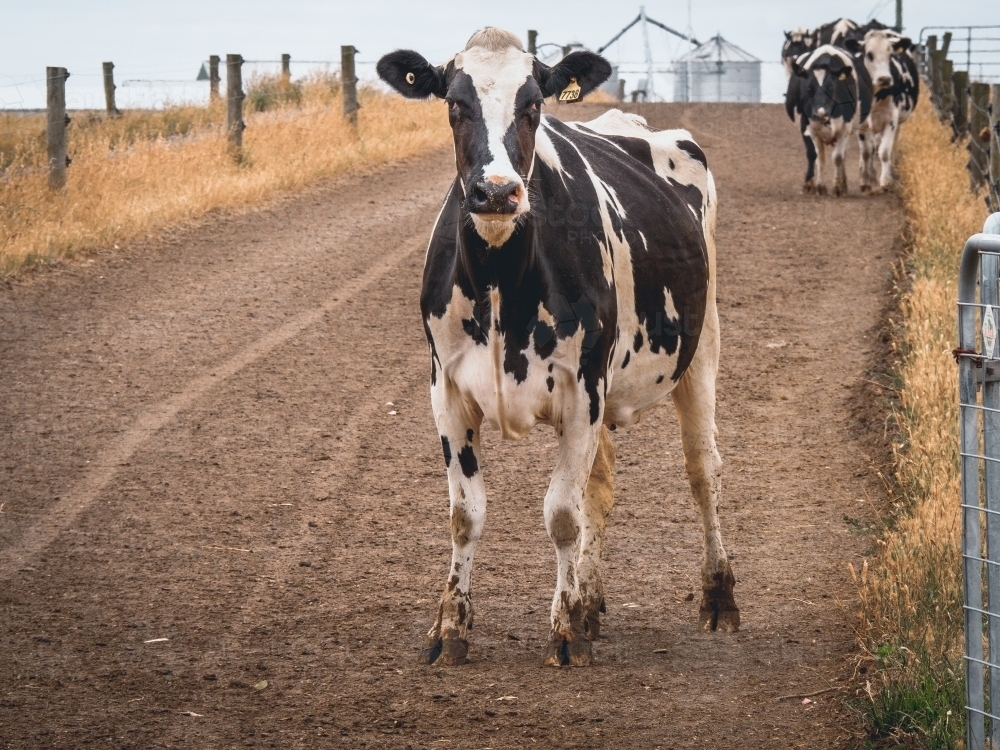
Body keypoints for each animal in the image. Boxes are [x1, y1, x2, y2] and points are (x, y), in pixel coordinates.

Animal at [378, 26, 740, 668]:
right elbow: (465, 515)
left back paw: (717, 597)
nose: (497, 192)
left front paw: (564, 631)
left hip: (703, 347)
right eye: (454, 103)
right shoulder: (446, 389)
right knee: (602, 485)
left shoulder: (582, 391)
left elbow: (563, 515)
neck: (502, 279)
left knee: (704, 470)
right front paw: (451, 627)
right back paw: (589, 602)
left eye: (533, 106)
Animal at [788, 44, 868, 197]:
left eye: (831, 87)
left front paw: (837, 188)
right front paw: (816, 186)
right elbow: (816, 156)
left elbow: (837, 157)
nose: (820, 112)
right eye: (809, 88)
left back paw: (850, 185)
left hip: (864, 125)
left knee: (856, 153)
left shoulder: (845, 127)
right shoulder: (808, 126)